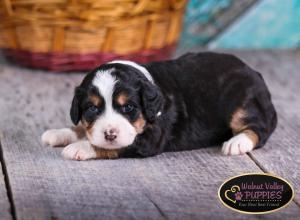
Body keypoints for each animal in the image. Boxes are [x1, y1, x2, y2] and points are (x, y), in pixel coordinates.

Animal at [41, 52, 278, 161]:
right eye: (92, 108)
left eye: (129, 107)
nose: (110, 133)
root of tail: (254, 72)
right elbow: (83, 127)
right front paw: (60, 133)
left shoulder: (150, 138)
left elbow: (112, 146)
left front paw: (80, 147)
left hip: (242, 103)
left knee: (259, 129)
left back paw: (237, 143)